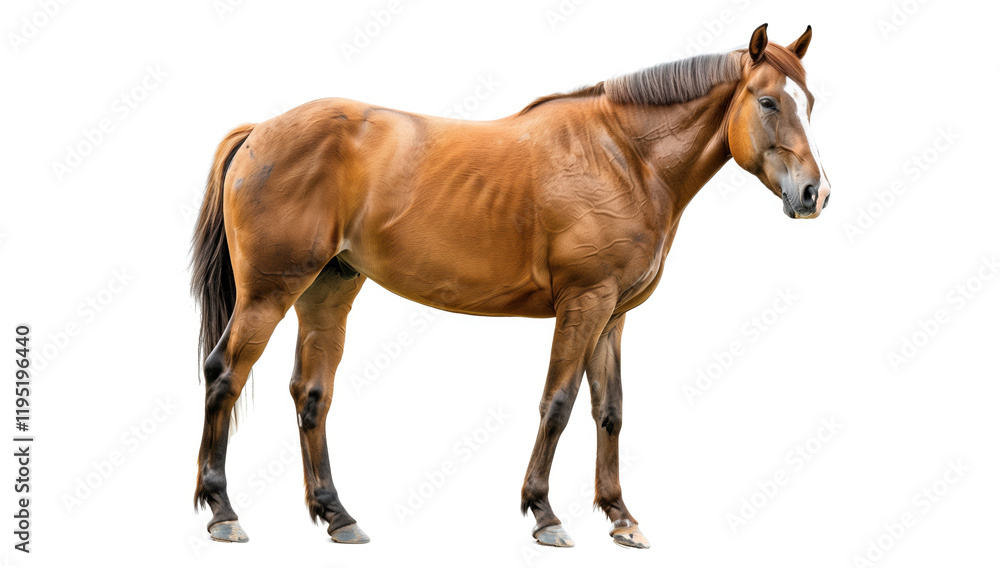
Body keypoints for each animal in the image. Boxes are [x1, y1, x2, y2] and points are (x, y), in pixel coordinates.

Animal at [191, 23, 830, 549]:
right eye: (768, 100)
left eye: (810, 101)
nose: (813, 194)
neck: (625, 157)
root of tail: (258, 132)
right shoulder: (584, 303)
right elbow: (558, 404)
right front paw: (544, 514)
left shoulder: (613, 315)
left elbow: (610, 411)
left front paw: (621, 517)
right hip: (268, 296)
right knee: (224, 375)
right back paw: (222, 511)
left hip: (327, 292)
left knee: (311, 394)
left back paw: (337, 516)